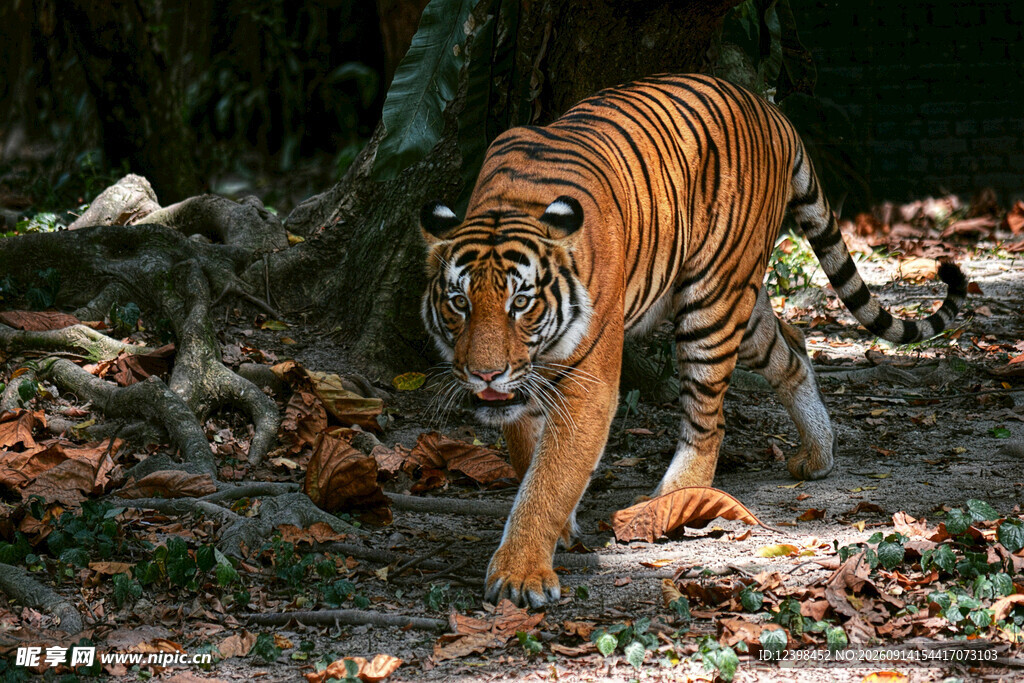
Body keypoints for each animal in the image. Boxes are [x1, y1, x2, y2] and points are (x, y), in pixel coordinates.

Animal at [419, 74, 967, 608]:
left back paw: (670, 502)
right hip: (743, 303)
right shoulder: (526, 382)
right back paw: (818, 454)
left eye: (521, 303)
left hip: (712, 301)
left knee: (709, 421)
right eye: (459, 302)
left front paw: (521, 574)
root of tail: (772, 112)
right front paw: (560, 532)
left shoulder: (588, 380)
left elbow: (550, 477)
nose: (485, 373)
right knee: (792, 350)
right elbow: (527, 453)